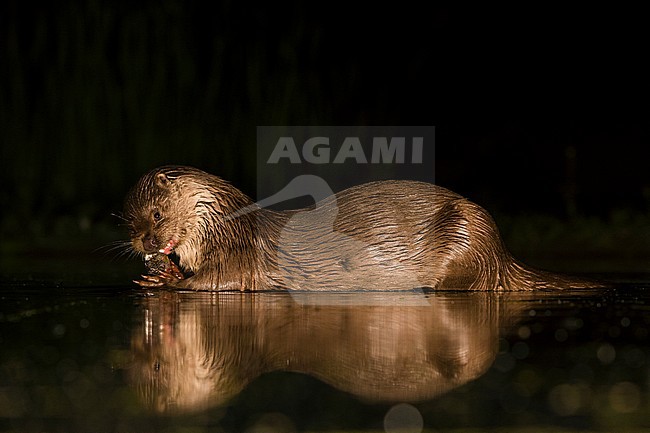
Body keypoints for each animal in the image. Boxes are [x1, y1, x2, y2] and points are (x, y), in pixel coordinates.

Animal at [123, 165, 599, 291]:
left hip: (464, 235)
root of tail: (502, 254)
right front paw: (163, 271)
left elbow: (216, 283)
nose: (144, 242)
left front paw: (164, 281)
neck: (223, 225)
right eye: (130, 221)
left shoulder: (236, 257)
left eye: (157, 216)